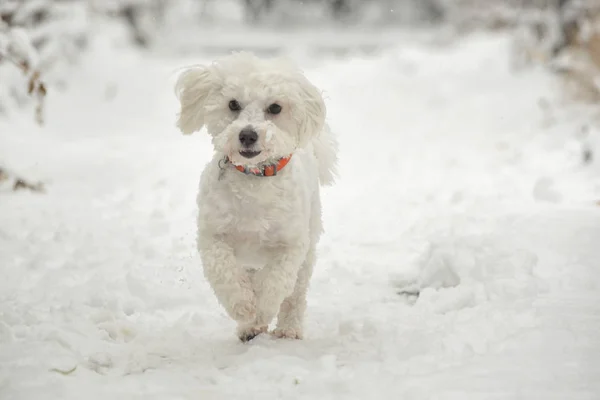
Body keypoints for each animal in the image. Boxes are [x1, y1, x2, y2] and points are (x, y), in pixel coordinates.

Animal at [176, 52, 340, 340]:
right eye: (233, 104)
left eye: (275, 108)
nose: (248, 135)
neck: (254, 178)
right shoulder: (213, 236)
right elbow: (225, 273)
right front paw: (244, 308)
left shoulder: (291, 245)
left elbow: (275, 282)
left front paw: (261, 310)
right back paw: (249, 326)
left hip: (309, 244)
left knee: (295, 293)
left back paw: (288, 328)